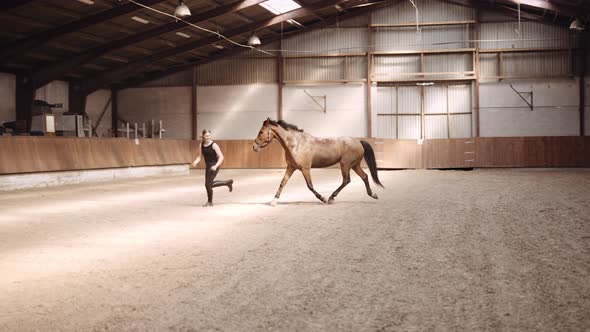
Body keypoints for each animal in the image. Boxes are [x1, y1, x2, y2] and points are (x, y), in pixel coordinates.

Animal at [253, 116, 384, 205]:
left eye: (261, 132)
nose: (254, 147)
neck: (296, 144)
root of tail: (359, 141)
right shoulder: (291, 167)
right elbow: (282, 183)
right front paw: (273, 200)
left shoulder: (305, 169)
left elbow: (310, 186)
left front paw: (323, 198)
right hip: (354, 165)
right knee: (364, 176)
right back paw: (373, 194)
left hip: (345, 164)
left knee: (347, 180)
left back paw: (331, 198)